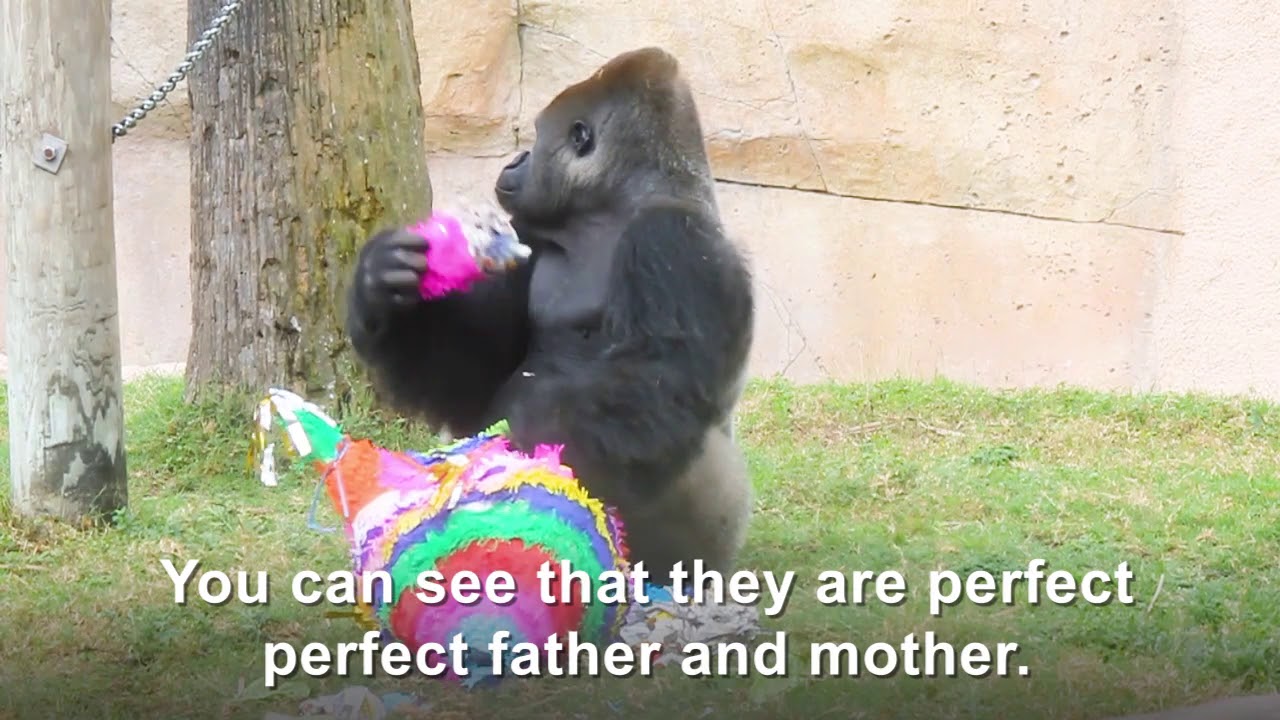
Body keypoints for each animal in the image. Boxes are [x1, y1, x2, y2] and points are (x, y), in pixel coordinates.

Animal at [345, 47, 755, 584]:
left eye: (538, 137)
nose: (515, 159)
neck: (608, 211)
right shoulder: (527, 235)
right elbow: (472, 378)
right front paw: (384, 289)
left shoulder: (673, 239)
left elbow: (657, 377)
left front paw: (524, 444)